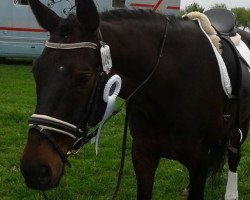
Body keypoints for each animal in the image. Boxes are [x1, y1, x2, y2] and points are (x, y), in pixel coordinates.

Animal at [20, 0, 250, 199]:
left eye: (84, 77)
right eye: (35, 71)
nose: (34, 169)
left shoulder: (198, 161)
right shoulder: (143, 156)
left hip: (239, 130)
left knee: (233, 157)